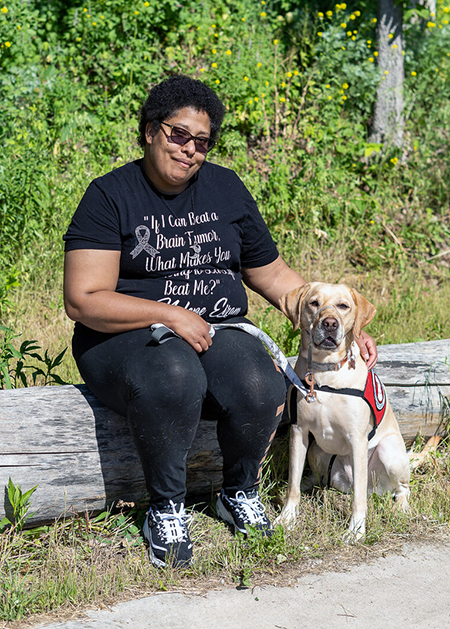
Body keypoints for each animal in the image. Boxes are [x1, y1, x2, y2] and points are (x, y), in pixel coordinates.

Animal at [276, 282, 410, 536]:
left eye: (343, 306)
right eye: (314, 303)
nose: (330, 323)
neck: (325, 370)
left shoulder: (356, 439)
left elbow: (358, 500)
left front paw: (356, 530)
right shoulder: (299, 431)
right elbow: (292, 484)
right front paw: (287, 518)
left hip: (389, 451)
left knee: (400, 488)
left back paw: (400, 508)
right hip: (316, 451)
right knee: (316, 478)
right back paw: (309, 484)